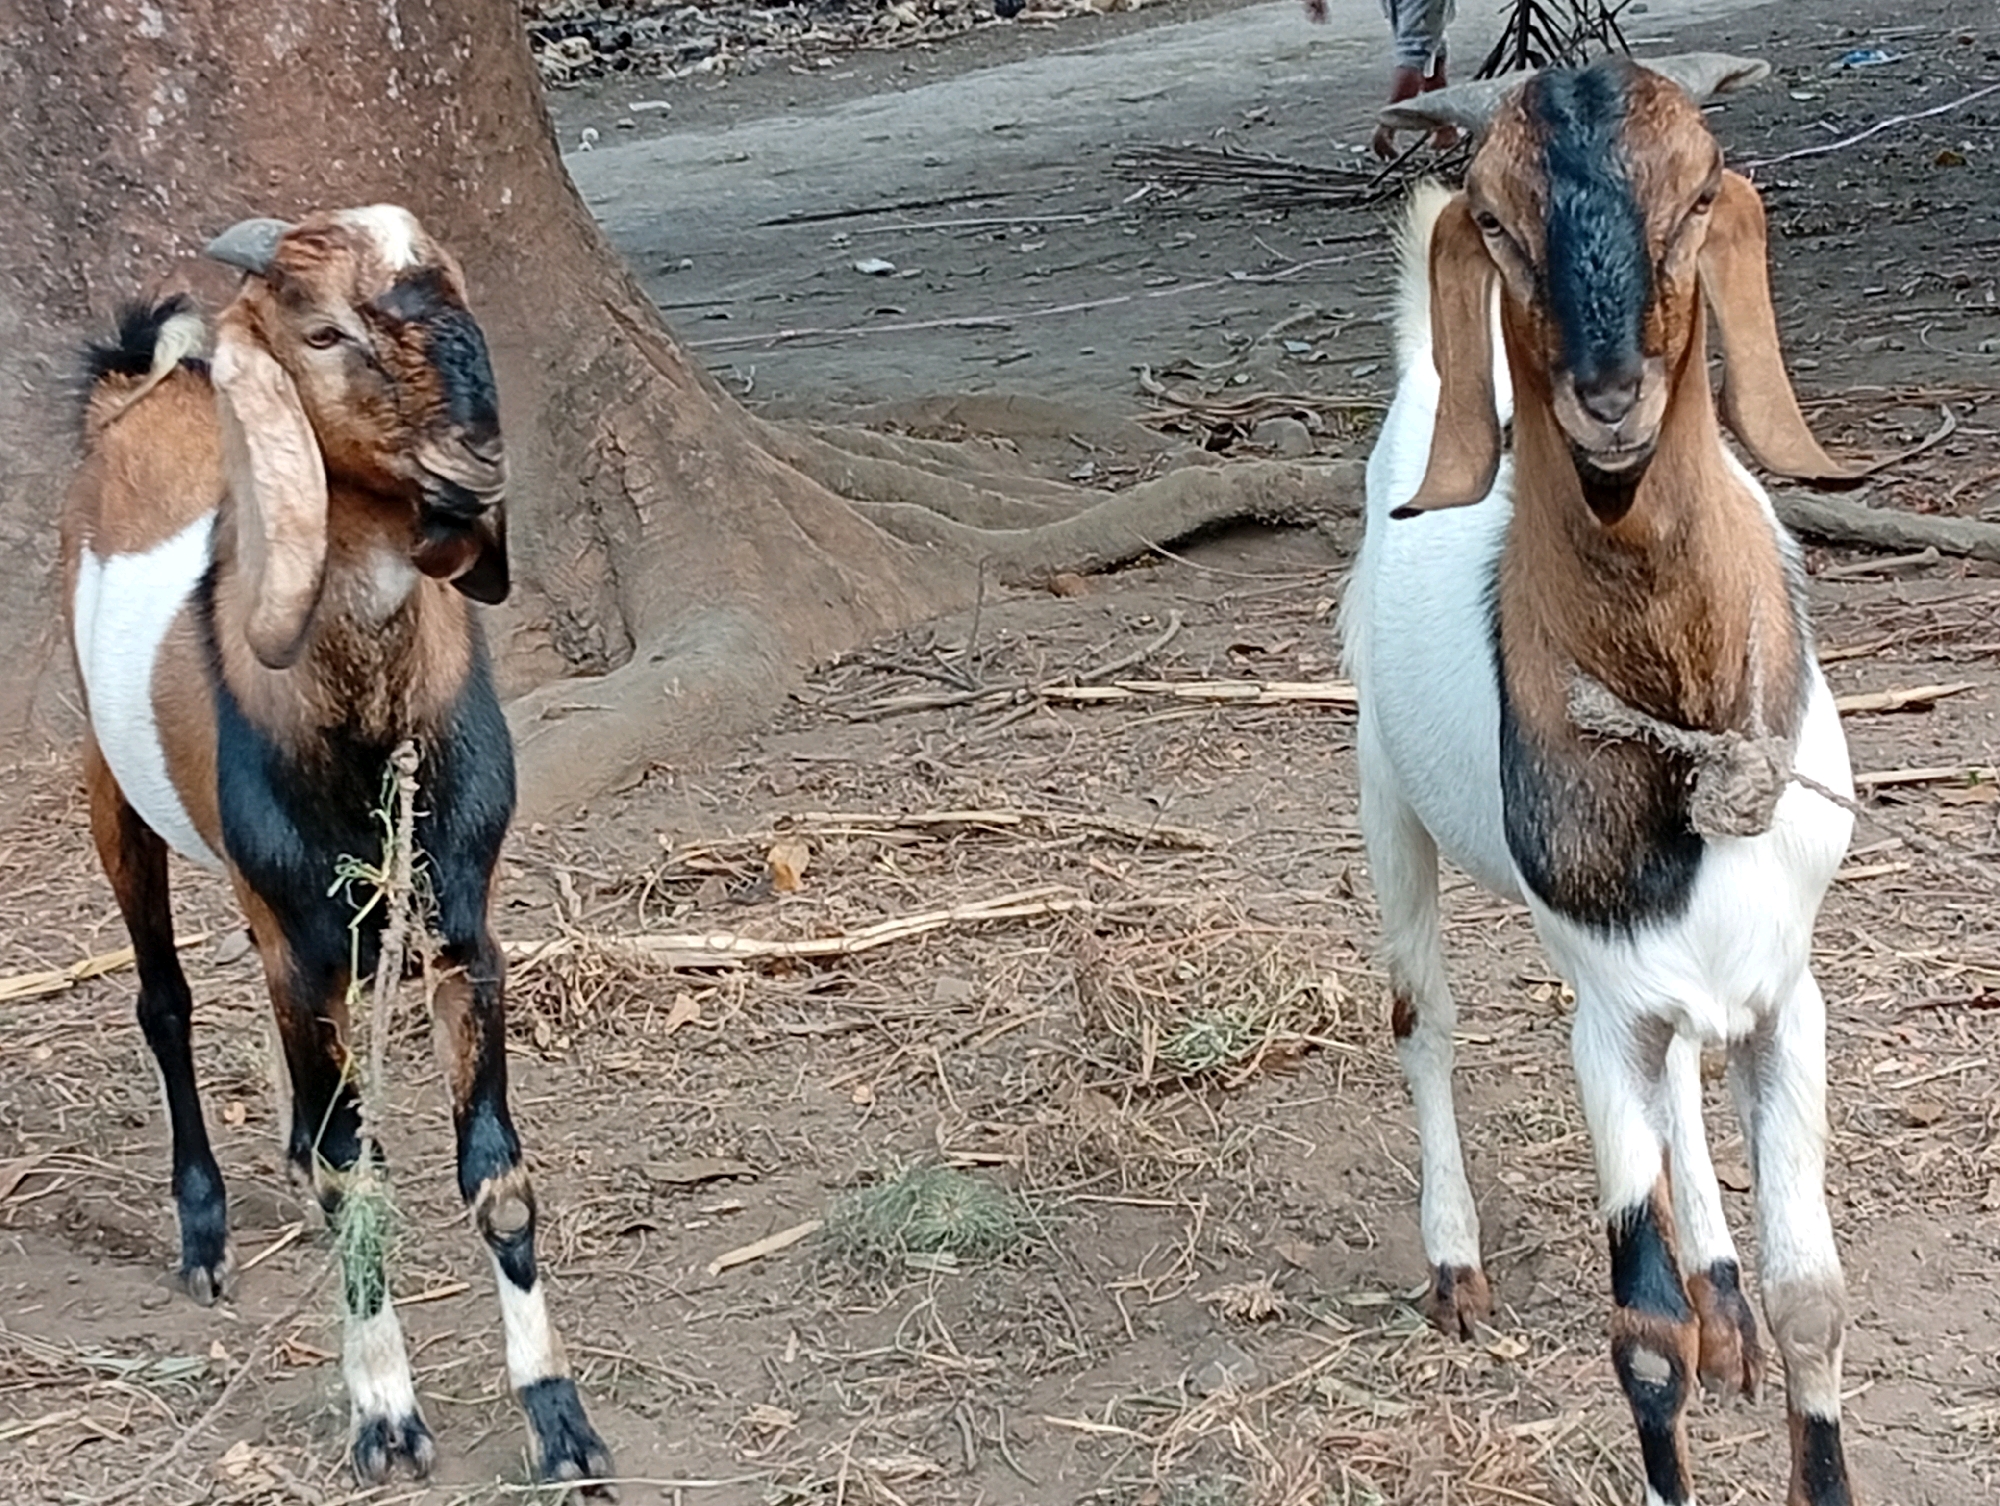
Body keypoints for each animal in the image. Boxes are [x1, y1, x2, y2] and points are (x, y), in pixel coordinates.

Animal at [60, 207, 611, 1489]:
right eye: (322, 333)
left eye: (455, 295)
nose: (477, 460)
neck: (367, 725)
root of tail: (134, 392)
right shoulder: (302, 949)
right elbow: (355, 1171)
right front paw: (384, 1418)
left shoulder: (460, 930)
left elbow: (496, 1176)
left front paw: (557, 1419)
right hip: (114, 790)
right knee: (164, 1002)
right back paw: (204, 1230)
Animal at [1341, 59, 1859, 1506]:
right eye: (1495, 221)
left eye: (1697, 191)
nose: (1609, 395)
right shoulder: (1600, 1009)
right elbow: (1640, 1333)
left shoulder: (1786, 990)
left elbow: (1814, 1298)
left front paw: (1755, 1314)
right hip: (1384, 793)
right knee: (1422, 1020)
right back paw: (1454, 1264)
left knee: (1685, 1065)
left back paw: (1723, 1287)